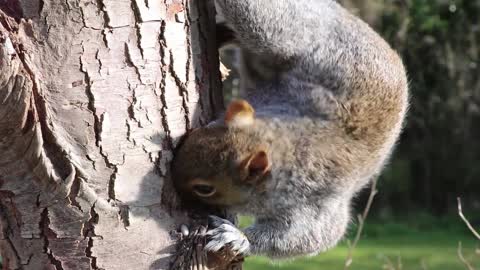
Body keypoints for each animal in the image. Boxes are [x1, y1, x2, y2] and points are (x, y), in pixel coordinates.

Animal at [171, 0, 406, 258]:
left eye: (205, 188)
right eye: (202, 130)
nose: (171, 180)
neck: (290, 144)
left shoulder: (314, 203)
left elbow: (310, 236)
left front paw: (237, 237)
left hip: (284, 34)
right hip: (281, 36)